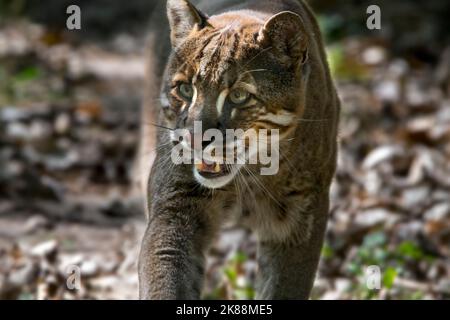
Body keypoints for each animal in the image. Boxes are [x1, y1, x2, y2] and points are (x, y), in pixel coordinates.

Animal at [139, 0, 340, 300]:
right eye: (185, 89)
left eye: (238, 96)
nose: (195, 139)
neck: (250, 174)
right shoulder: (175, 205)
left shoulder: (301, 215)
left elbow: (283, 286)